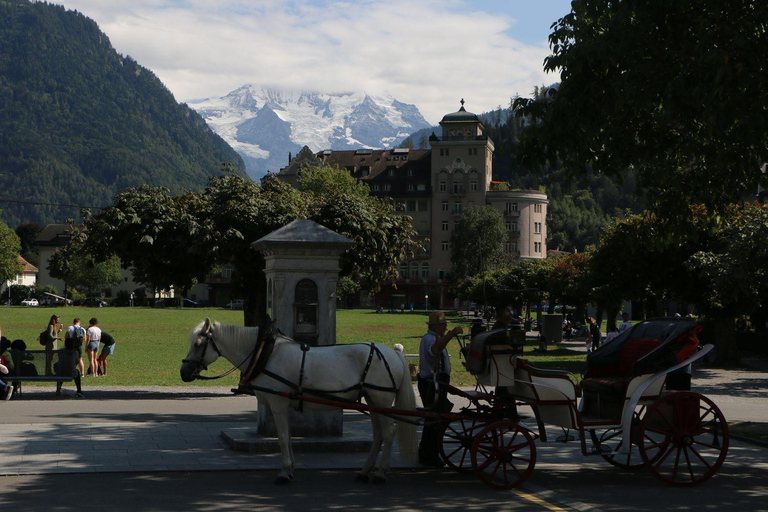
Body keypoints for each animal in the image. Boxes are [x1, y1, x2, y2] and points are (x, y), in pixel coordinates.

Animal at [179, 320, 416, 484]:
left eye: (198, 343)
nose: (183, 372)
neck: (265, 354)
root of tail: (393, 353)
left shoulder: (278, 404)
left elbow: (283, 437)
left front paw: (284, 472)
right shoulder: (283, 405)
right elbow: (289, 437)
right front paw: (291, 467)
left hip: (381, 399)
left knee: (389, 432)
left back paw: (381, 473)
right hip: (372, 400)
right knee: (378, 435)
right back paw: (365, 471)